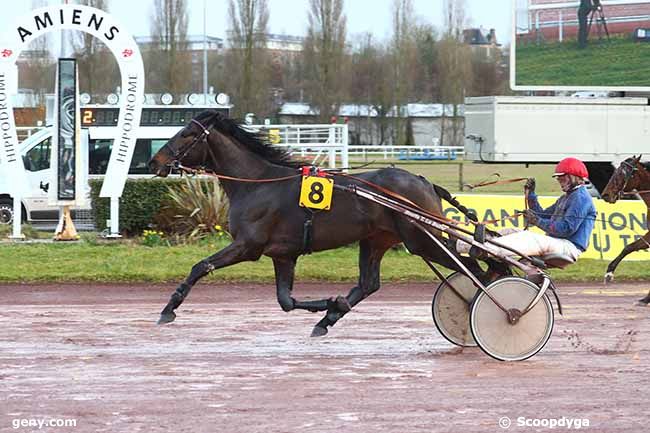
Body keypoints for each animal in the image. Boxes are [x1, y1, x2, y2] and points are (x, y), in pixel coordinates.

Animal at [148, 110, 480, 334]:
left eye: (186, 134)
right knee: (369, 283)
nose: (154, 162)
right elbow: (285, 300)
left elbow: (201, 266)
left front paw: (168, 309)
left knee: (476, 269)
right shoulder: (283, 254)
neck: (258, 183)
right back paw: (328, 319)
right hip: (377, 239)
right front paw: (334, 304)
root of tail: (425, 181)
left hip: (423, 239)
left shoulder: (247, 246)